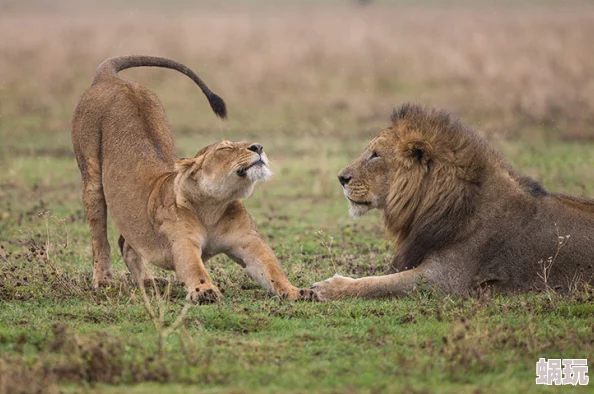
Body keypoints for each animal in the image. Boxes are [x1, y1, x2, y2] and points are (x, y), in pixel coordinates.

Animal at [71, 55, 308, 302]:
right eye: (225, 148)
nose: (259, 147)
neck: (213, 208)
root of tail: (110, 78)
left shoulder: (249, 242)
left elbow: (272, 269)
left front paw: (297, 291)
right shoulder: (182, 243)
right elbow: (195, 269)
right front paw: (205, 290)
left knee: (126, 243)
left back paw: (148, 281)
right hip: (91, 178)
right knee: (100, 239)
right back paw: (103, 281)